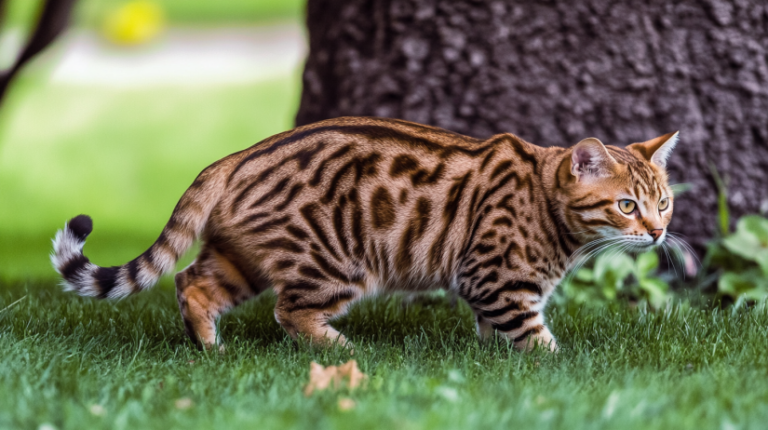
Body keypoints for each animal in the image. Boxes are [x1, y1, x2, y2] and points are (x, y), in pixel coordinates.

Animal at [51, 116, 680, 352]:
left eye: (664, 203)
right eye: (626, 205)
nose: (656, 233)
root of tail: (236, 155)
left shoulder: (494, 290)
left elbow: (496, 334)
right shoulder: (495, 278)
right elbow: (534, 338)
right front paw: (551, 365)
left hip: (241, 258)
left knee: (191, 283)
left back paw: (209, 347)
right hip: (336, 263)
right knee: (289, 312)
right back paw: (341, 351)